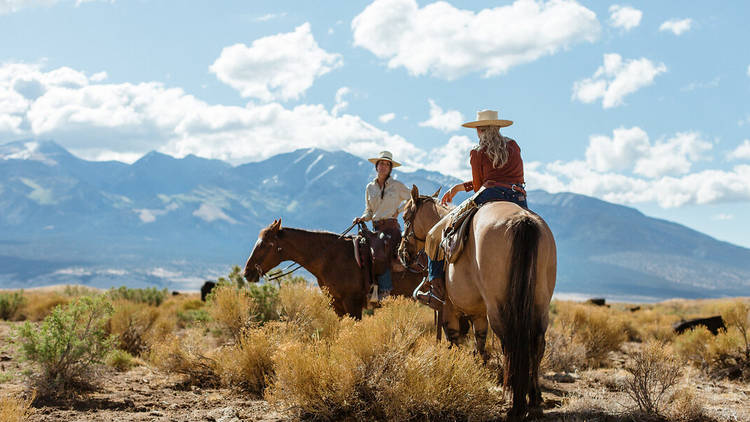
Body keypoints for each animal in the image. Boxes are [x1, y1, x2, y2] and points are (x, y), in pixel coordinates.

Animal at [400, 186, 560, 420]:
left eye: (405, 218)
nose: (401, 253)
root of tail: (523, 221)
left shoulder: (449, 310)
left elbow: (454, 342)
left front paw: (452, 377)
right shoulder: (478, 314)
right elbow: (480, 344)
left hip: (499, 306)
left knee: (510, 344)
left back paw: (515, 405)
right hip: (540, 303)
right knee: (536, 344)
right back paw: (534, 400)